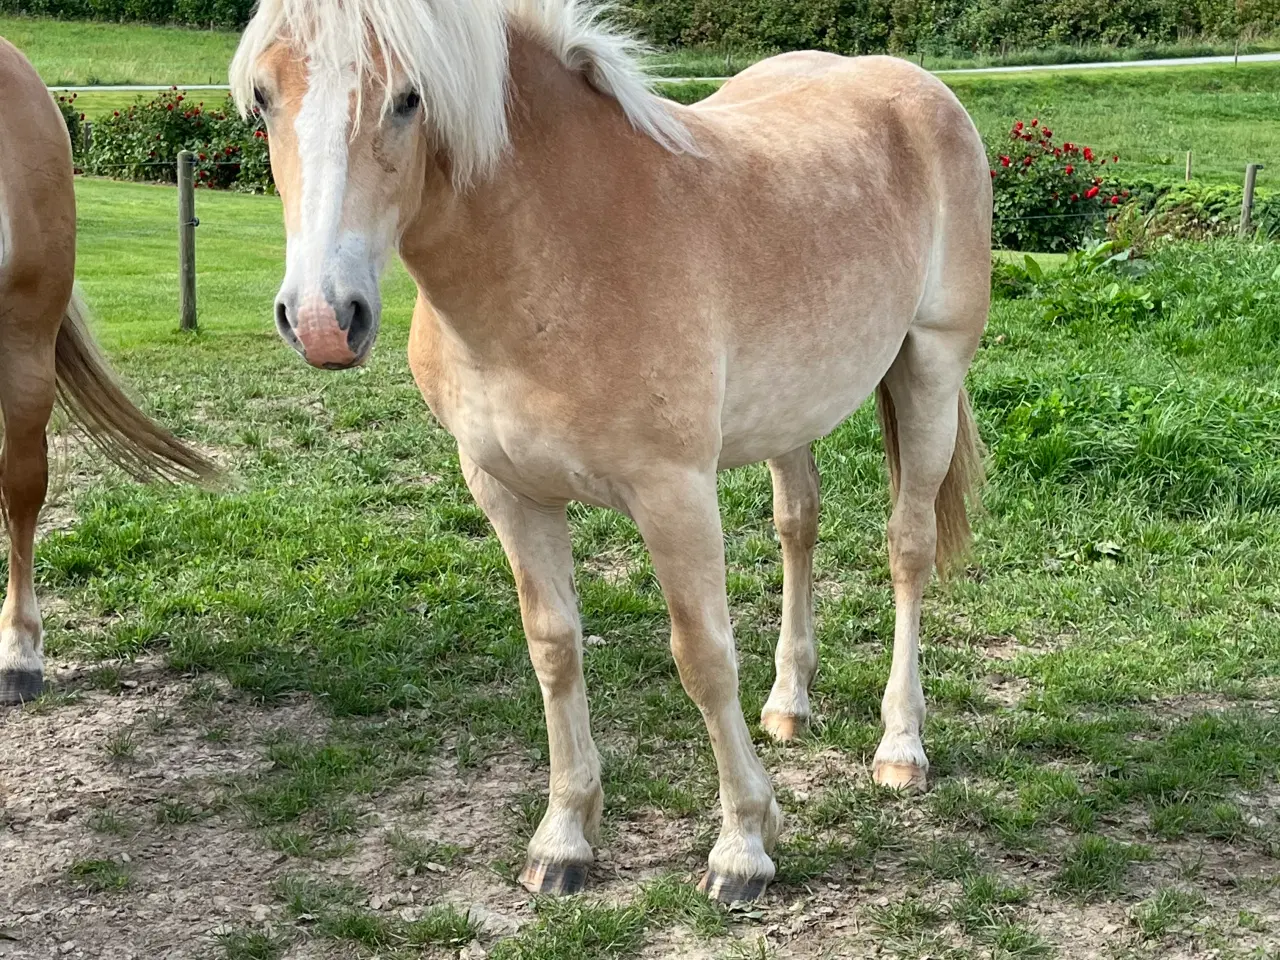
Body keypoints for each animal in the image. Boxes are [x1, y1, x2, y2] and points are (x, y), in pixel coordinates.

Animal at [230, 0, 988, 901]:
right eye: (264, 97)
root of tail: (916, 86)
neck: (561, 252)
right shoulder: (505, 490)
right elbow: (554, 649)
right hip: (792, 416)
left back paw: (900, 745)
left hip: (931, 369)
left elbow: (702, 657)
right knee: (798, 526)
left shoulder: (674, 493)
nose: (322, 319)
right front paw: (563, 838)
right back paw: (789, 704)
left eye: (410, 98)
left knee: (907, 549)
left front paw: (743, 845)